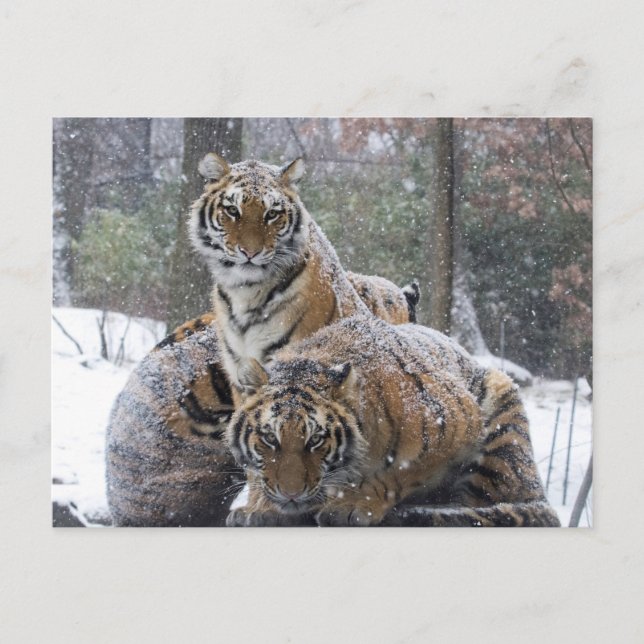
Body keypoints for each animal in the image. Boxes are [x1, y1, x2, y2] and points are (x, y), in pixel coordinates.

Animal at [225, 316, 560, 527]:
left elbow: (400, 471)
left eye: (315, 440)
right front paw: (260, 507)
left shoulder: (455, 422)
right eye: (270, 438)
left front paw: (353, 505)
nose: (290, 493)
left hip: (502, 415)